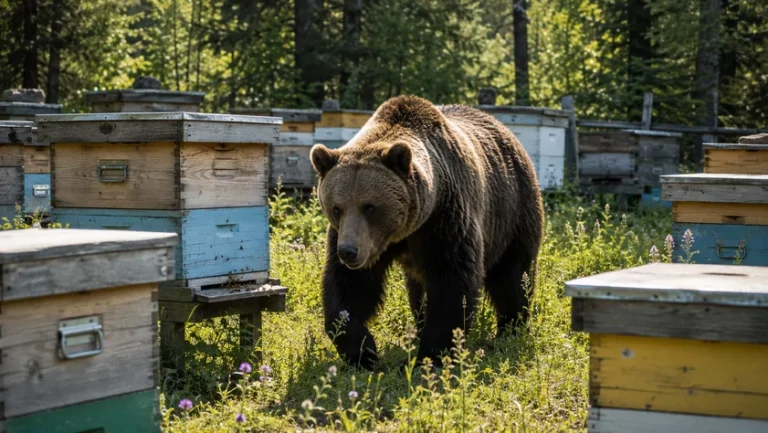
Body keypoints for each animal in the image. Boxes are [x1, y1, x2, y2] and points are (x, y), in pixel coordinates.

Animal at [310, 95, 544, 370]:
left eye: (370, 206)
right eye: (337, 207)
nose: (349, 252)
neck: (402, 232)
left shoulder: (445, 220)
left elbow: (451, 283)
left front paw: (430, 355)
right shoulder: (358, 239)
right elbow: (349, 287)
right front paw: (362, 351)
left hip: (513, 209)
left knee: (513, 276)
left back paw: (510, 328)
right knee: (419, 291)